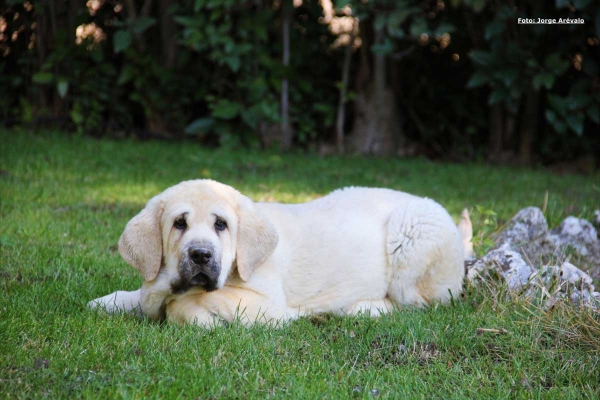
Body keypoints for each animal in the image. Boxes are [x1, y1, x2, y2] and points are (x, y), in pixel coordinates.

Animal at [89, 180, 474, 326]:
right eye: (179, 224)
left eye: (221, 224)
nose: (200, 255)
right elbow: (144, 296)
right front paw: (110, 301)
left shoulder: (264, 303)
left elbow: (188, 302)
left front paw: (190, 314)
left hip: (411, 241)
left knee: (420, 304)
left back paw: (364, 308)